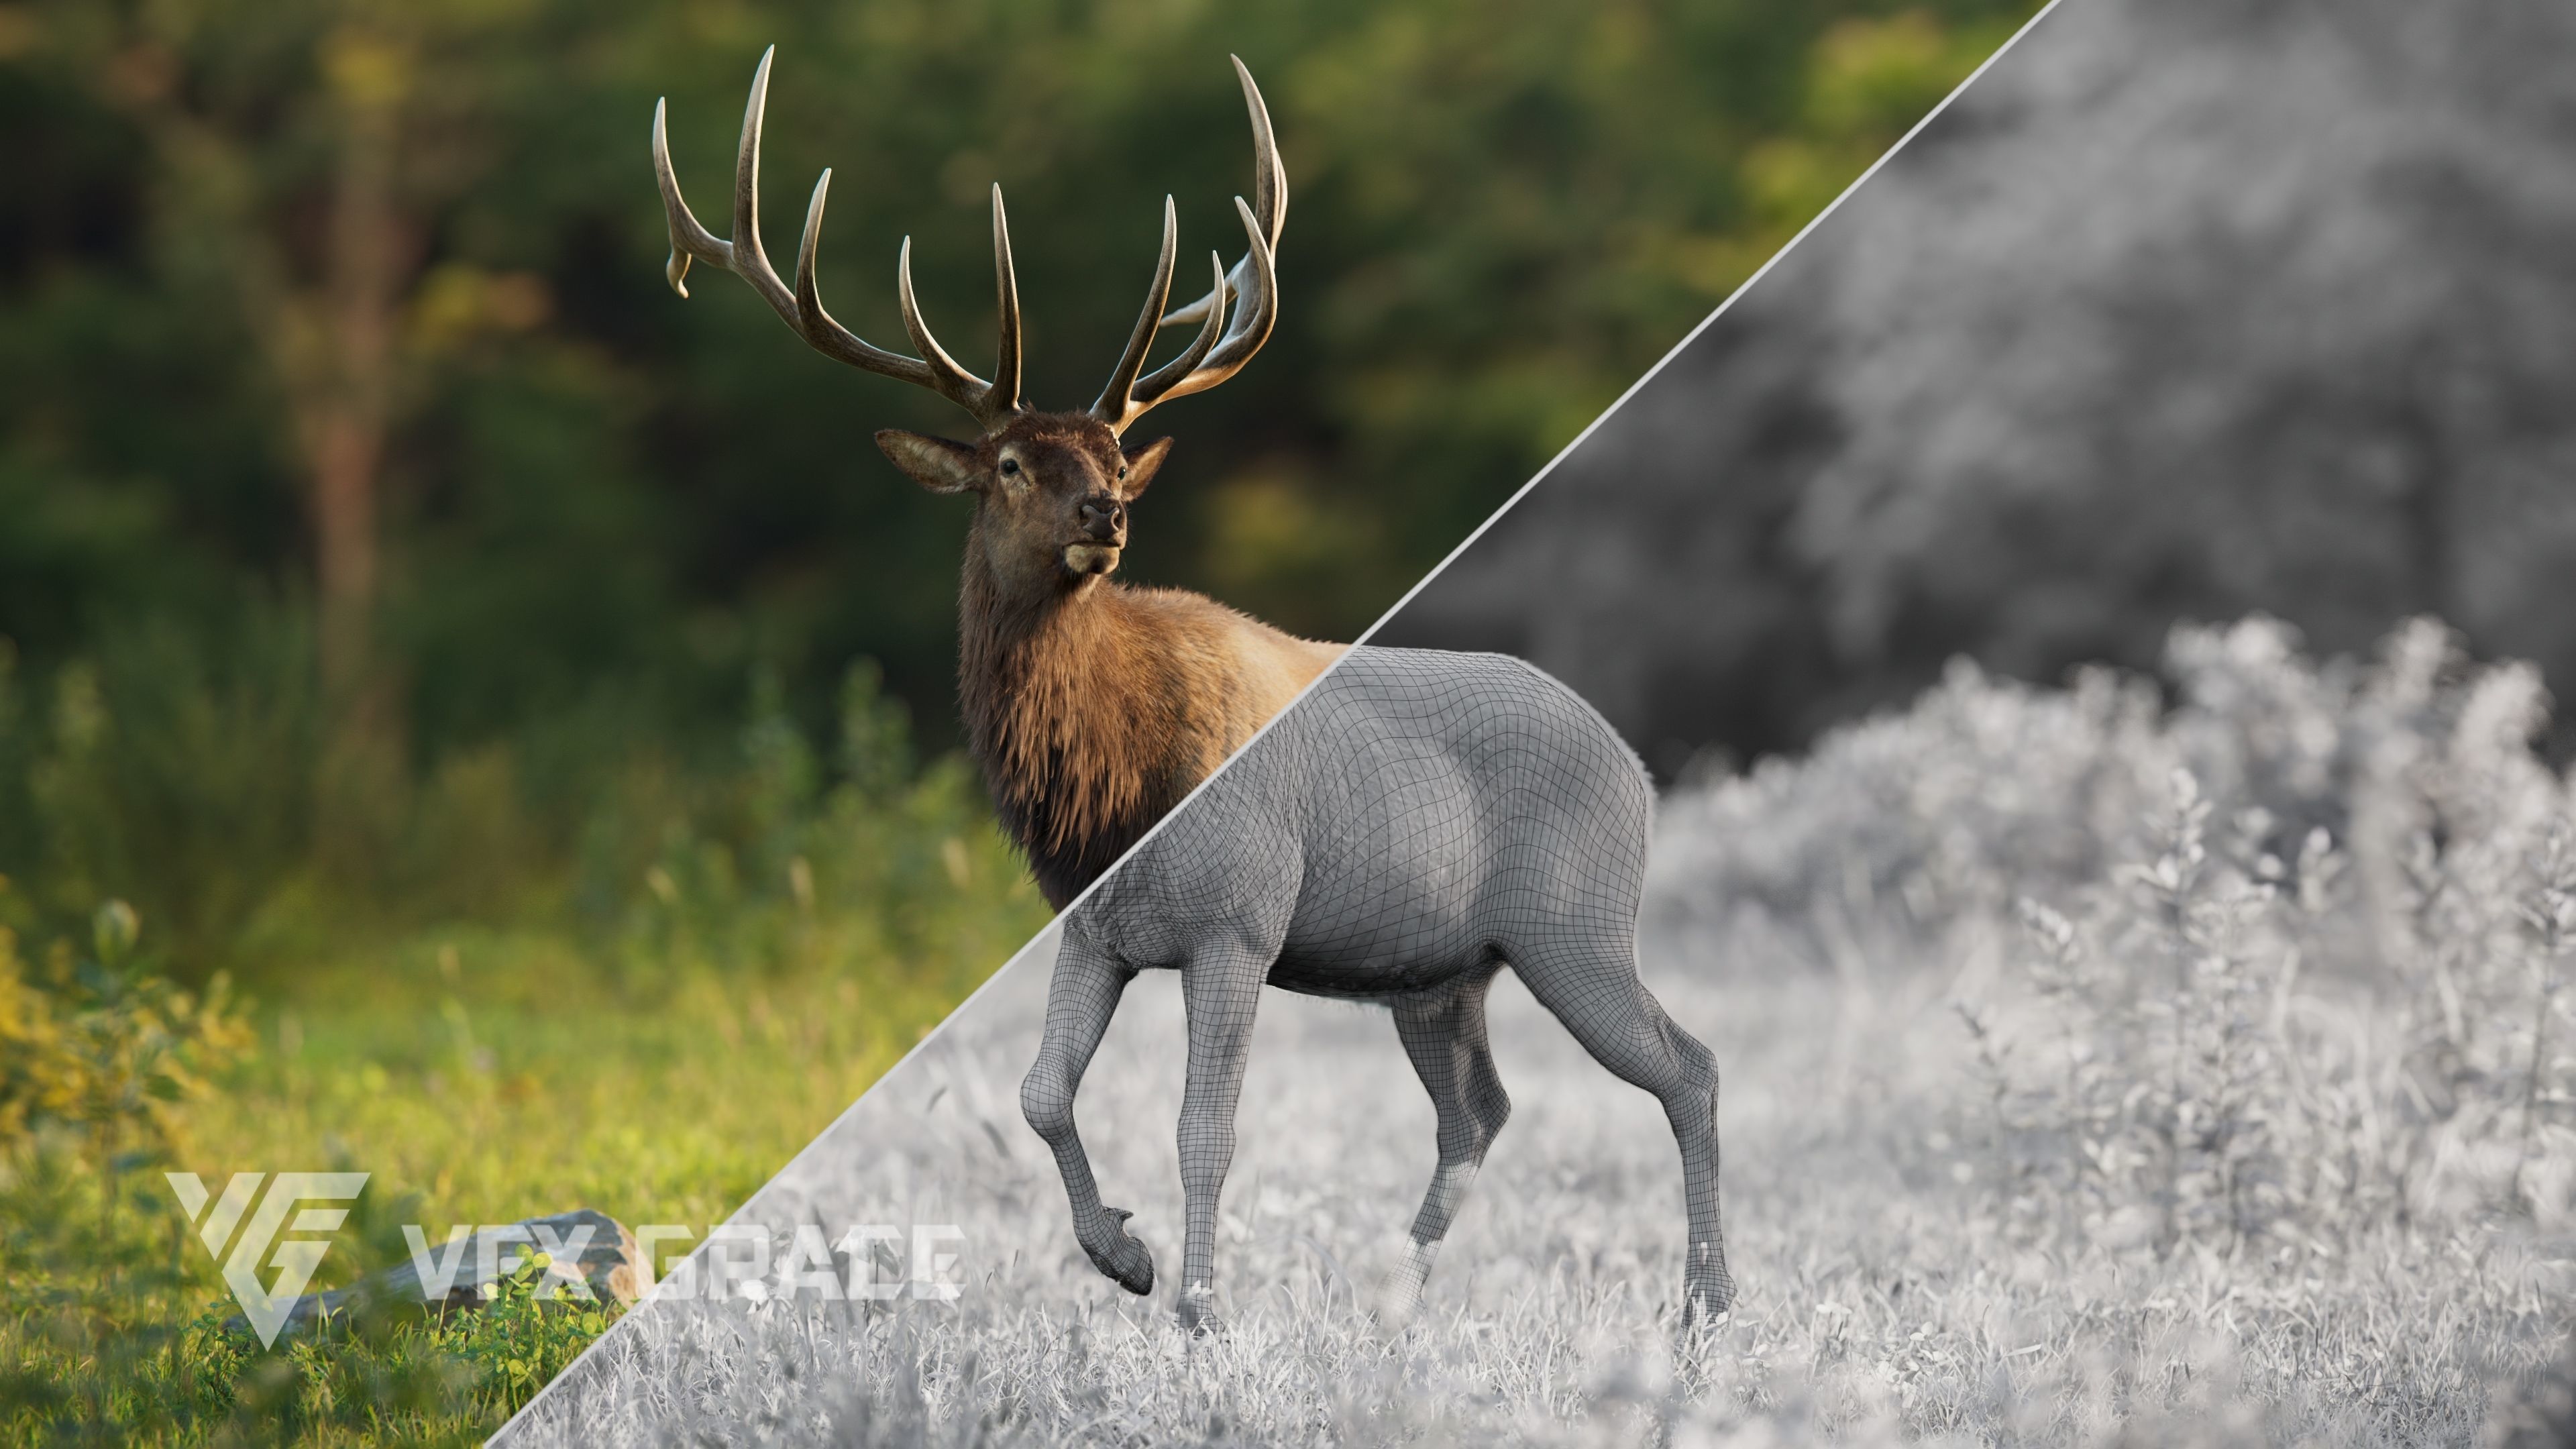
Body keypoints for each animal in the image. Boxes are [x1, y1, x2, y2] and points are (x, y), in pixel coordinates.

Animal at [655, 51, 1733, 1336]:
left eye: (1116, 455)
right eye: (1009, 462)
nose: (1107, 514)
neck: (1111, 798)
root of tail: (1638, 765)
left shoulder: (1240, 915)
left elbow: (1202, 1125)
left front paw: (1199, 1311)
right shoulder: (1092, 924)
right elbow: (1040, 1090)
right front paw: (1122, 1256)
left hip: (1574, 919)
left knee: (1688, 1067)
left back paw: (1707, 1300)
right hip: (1439, 972)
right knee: (1480, 1109)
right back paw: (1400, 1296)